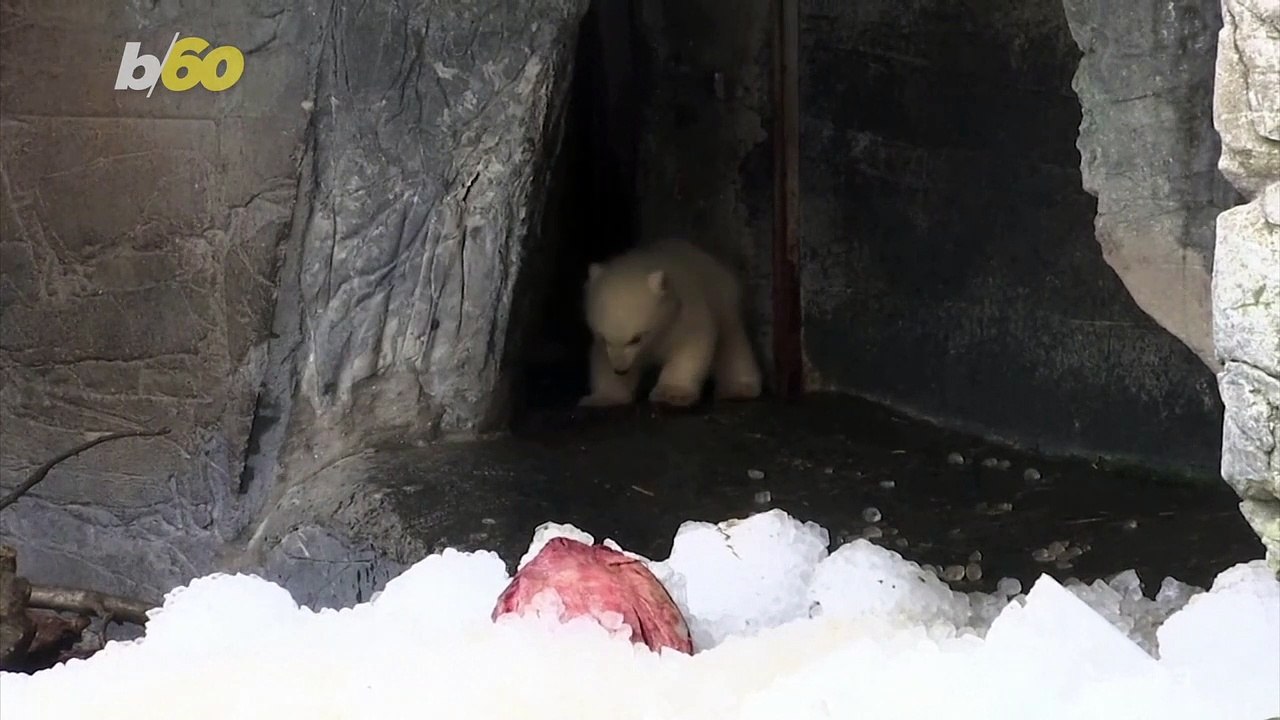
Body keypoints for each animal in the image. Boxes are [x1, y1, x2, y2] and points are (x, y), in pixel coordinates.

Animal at [578, 239, 763, 408]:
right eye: (603, 338)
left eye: (636, 338)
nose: (620, 370)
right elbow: (602, 359)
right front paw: (603, 398)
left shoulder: (684, 315)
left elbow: (690, 347)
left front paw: (671, 394)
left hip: (723, 302)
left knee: (732, 343)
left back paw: (738, 390)